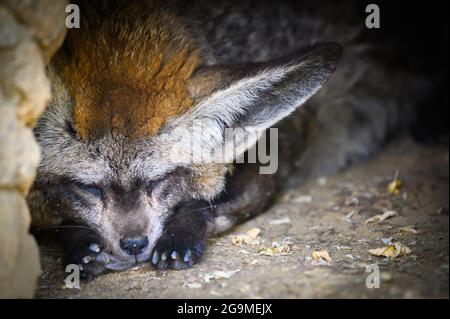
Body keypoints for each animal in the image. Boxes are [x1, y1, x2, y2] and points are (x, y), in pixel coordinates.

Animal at [27, 0, 422, 280]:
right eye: (89, 188)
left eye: (159, 181)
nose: (135, 243)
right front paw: (82, 246)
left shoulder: (269, 163)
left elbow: (210, 205)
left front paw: (181, 234)